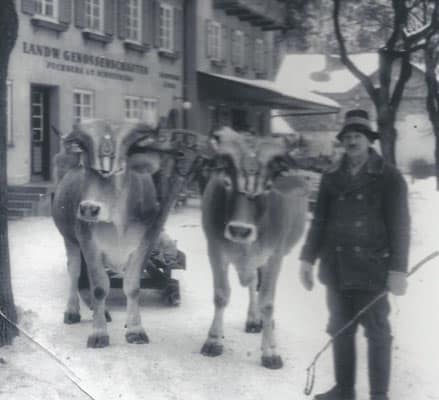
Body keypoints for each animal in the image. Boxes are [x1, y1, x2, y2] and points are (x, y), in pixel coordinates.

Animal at [52, 119, 164, 348]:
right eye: (86, 167)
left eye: (120, 169)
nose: (88, 209)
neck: (118, 222)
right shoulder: (88, 242)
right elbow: (99, 287)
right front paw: (99, 333)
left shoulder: (145, 242)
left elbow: (132, 286)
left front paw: (135, 329)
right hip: (70, 239)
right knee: (74, 272)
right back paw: (73, 311)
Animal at [200, 127, 309, 369]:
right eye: (227, 182)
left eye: (268, 187)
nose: (240, 230)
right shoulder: (215, 250)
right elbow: (221, 295)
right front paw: (213, 340)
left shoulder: (274, 256)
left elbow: (268, 302)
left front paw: (270, 351)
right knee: (251, 284)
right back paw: (253, 319)